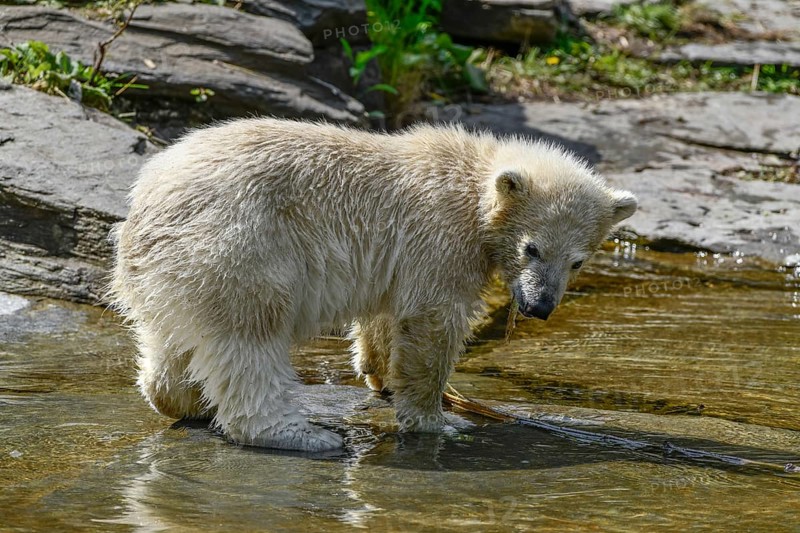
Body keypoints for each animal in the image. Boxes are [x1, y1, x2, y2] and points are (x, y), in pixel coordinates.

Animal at [109, 118, 637, 452]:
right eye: (532, 249)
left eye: (577, 261)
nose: (539, 306)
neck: (473, 179)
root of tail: (148, 200)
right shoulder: (439, 235)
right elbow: (431, 321)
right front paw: (437, 421)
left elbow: (387, 314)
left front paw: (380, 376)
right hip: (238, 244)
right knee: (249, 336)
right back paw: (301, 436)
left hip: (171, 268)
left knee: (169, 338)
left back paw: (186, 399)